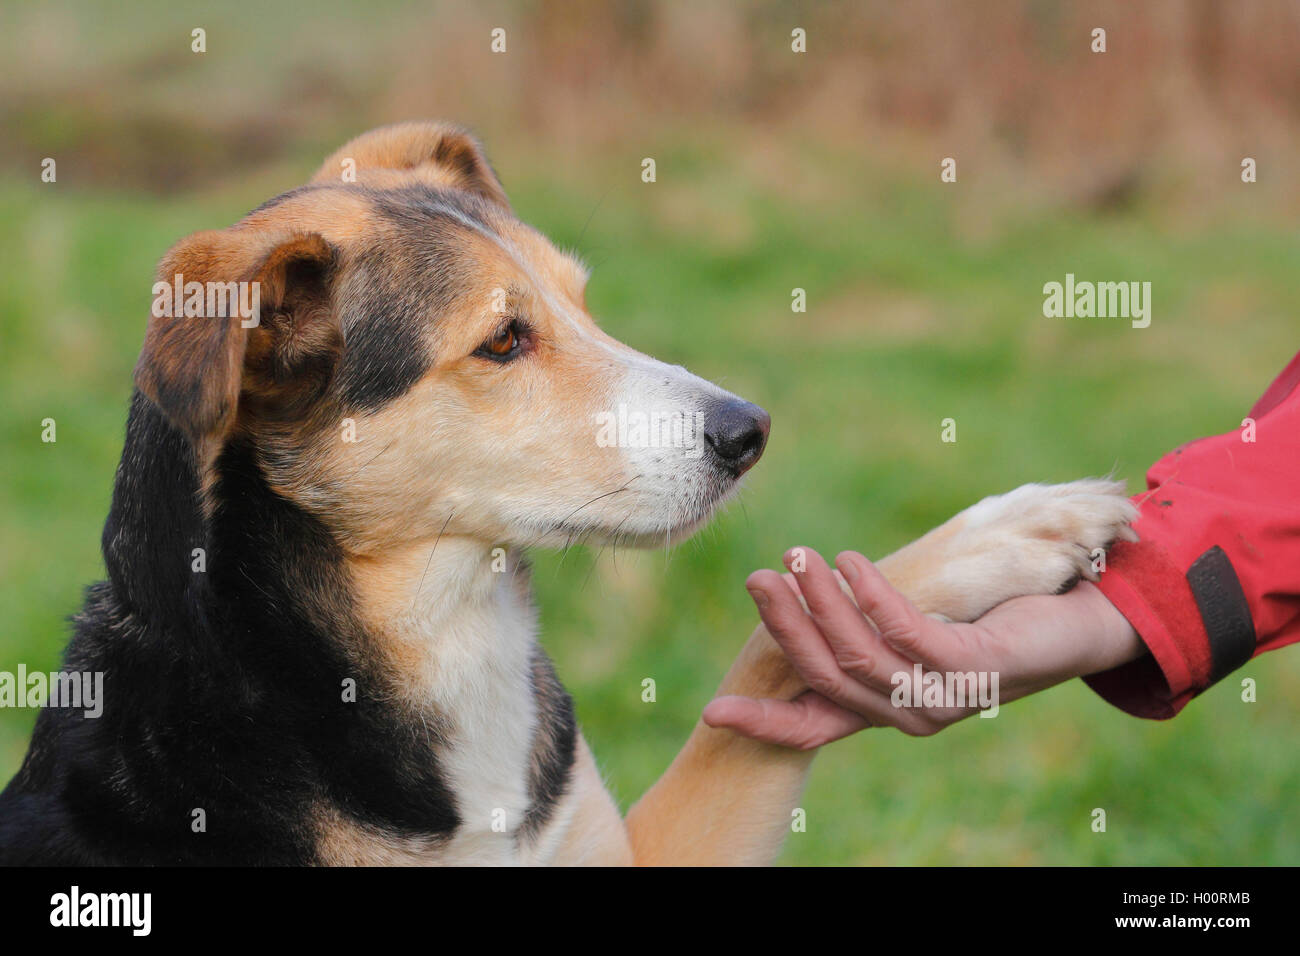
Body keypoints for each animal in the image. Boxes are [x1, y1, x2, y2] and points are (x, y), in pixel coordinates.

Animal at [0, 123, 1138, 863]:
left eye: (583, 301)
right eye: (503, 340)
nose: (749, 433)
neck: (447, 630)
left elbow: (759, 668)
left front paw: (1016, 528)